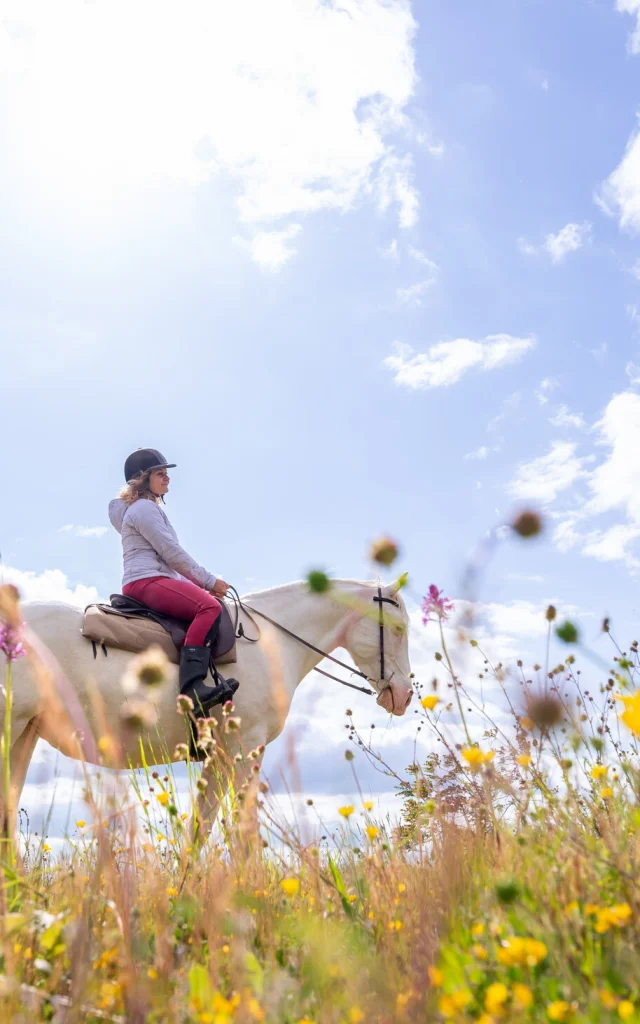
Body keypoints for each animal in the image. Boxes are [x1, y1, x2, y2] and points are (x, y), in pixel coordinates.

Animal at [6, 581, 413, 835]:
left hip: (25, 736)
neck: (272, 642)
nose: (405, 695)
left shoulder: (218, 756)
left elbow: (200, 829)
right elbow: (240, 830)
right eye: (397, 629)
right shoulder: (244, 749)